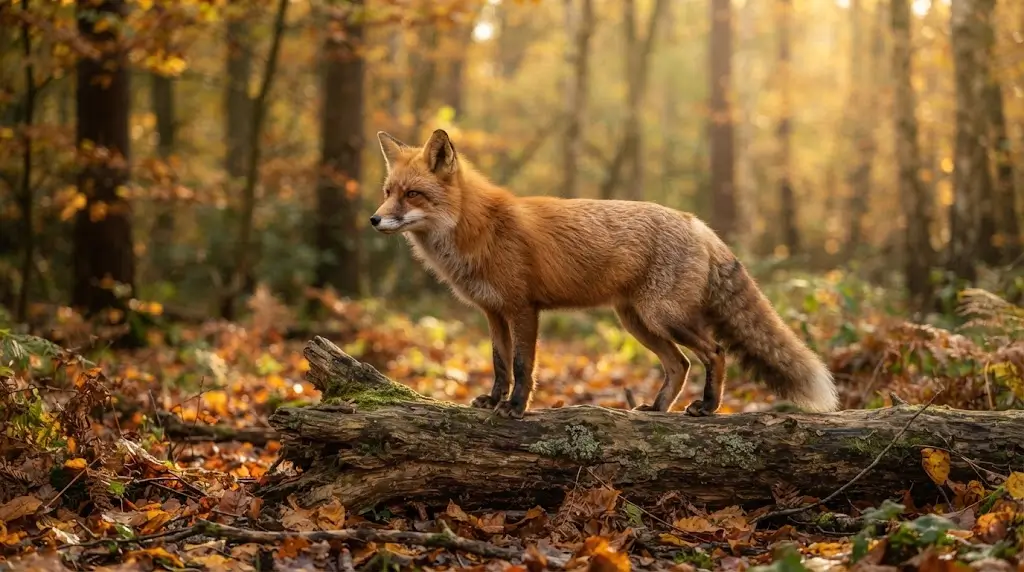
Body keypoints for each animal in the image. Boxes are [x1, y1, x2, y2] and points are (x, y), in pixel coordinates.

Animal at [369, 128, 840, 419]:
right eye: (388, 192)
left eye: (413, 195)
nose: (374, 220)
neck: (478, 229)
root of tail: (697, 223)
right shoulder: (493, 312)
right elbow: (500, 364)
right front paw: (492, 400)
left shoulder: (523, 308)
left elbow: (522, 366)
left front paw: (516, 408)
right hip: (637, 322)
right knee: (680, 364)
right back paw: (657, 409)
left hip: (664, 318)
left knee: (715, 352)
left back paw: (707, 408)